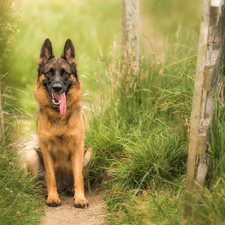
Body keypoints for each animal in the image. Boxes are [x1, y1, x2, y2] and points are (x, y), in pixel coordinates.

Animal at [25, 39, 89, 209]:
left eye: (65, 73)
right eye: (49, 73)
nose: (57, 87)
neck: (59, 118)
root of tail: (62, 186)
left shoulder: (78, 148)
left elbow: (78, 177)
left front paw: (80, 198)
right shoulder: (46, 149)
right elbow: (50, 177)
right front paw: (52, 197)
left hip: (88, 153)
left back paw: (71, 189)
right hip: (31, 154)